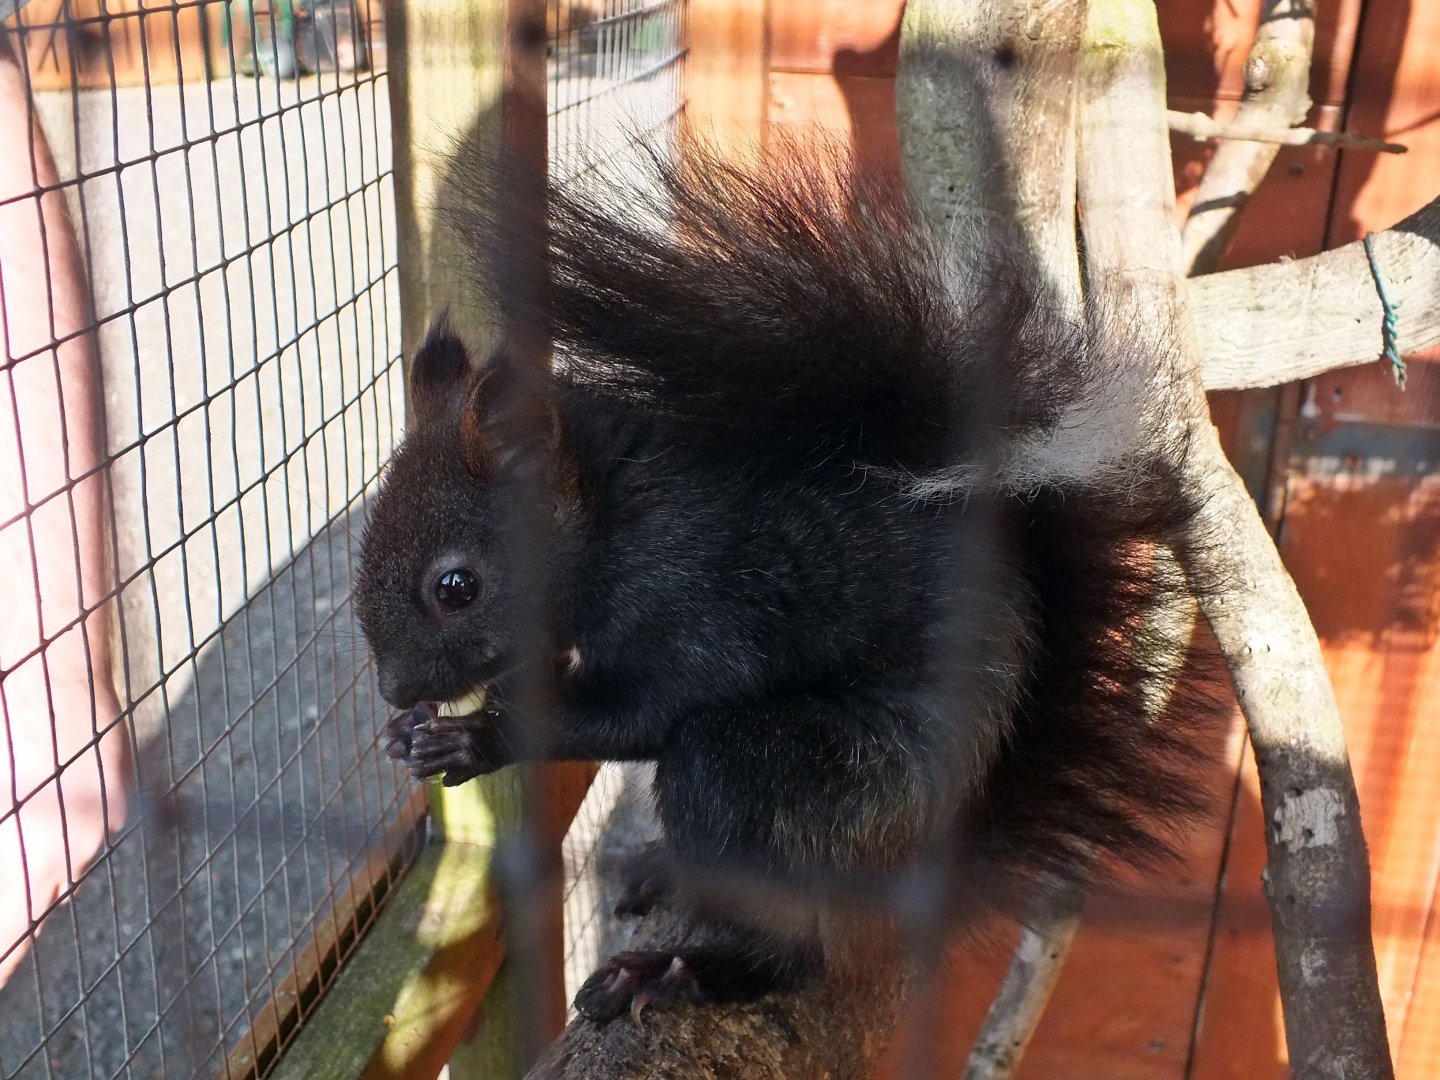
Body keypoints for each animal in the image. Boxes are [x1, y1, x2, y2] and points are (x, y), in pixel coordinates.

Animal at [355, 146, 1221, 1022]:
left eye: (456, 587)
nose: (394, 690)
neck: (609, 519)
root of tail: (924, 870)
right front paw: (406, 733)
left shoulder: (698, 597)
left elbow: (636, 713)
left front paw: (474, 737)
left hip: (789, 782)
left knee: (798, 944)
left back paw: (684, 972)